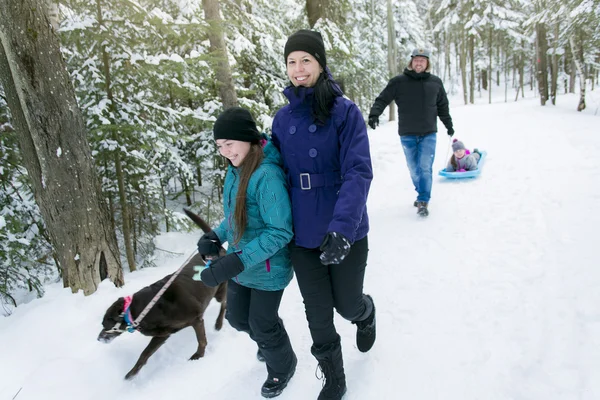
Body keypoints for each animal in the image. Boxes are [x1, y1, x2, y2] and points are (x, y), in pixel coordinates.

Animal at [97, 211, 226, 380]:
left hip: (220, 290)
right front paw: (131, 374)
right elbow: (144, 355)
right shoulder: (162, 335)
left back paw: (219, 323)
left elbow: (201, 340)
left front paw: (198, 355)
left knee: (224, 304)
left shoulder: (196, 319)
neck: (143, 310)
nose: (98, 338)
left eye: (105, 325)